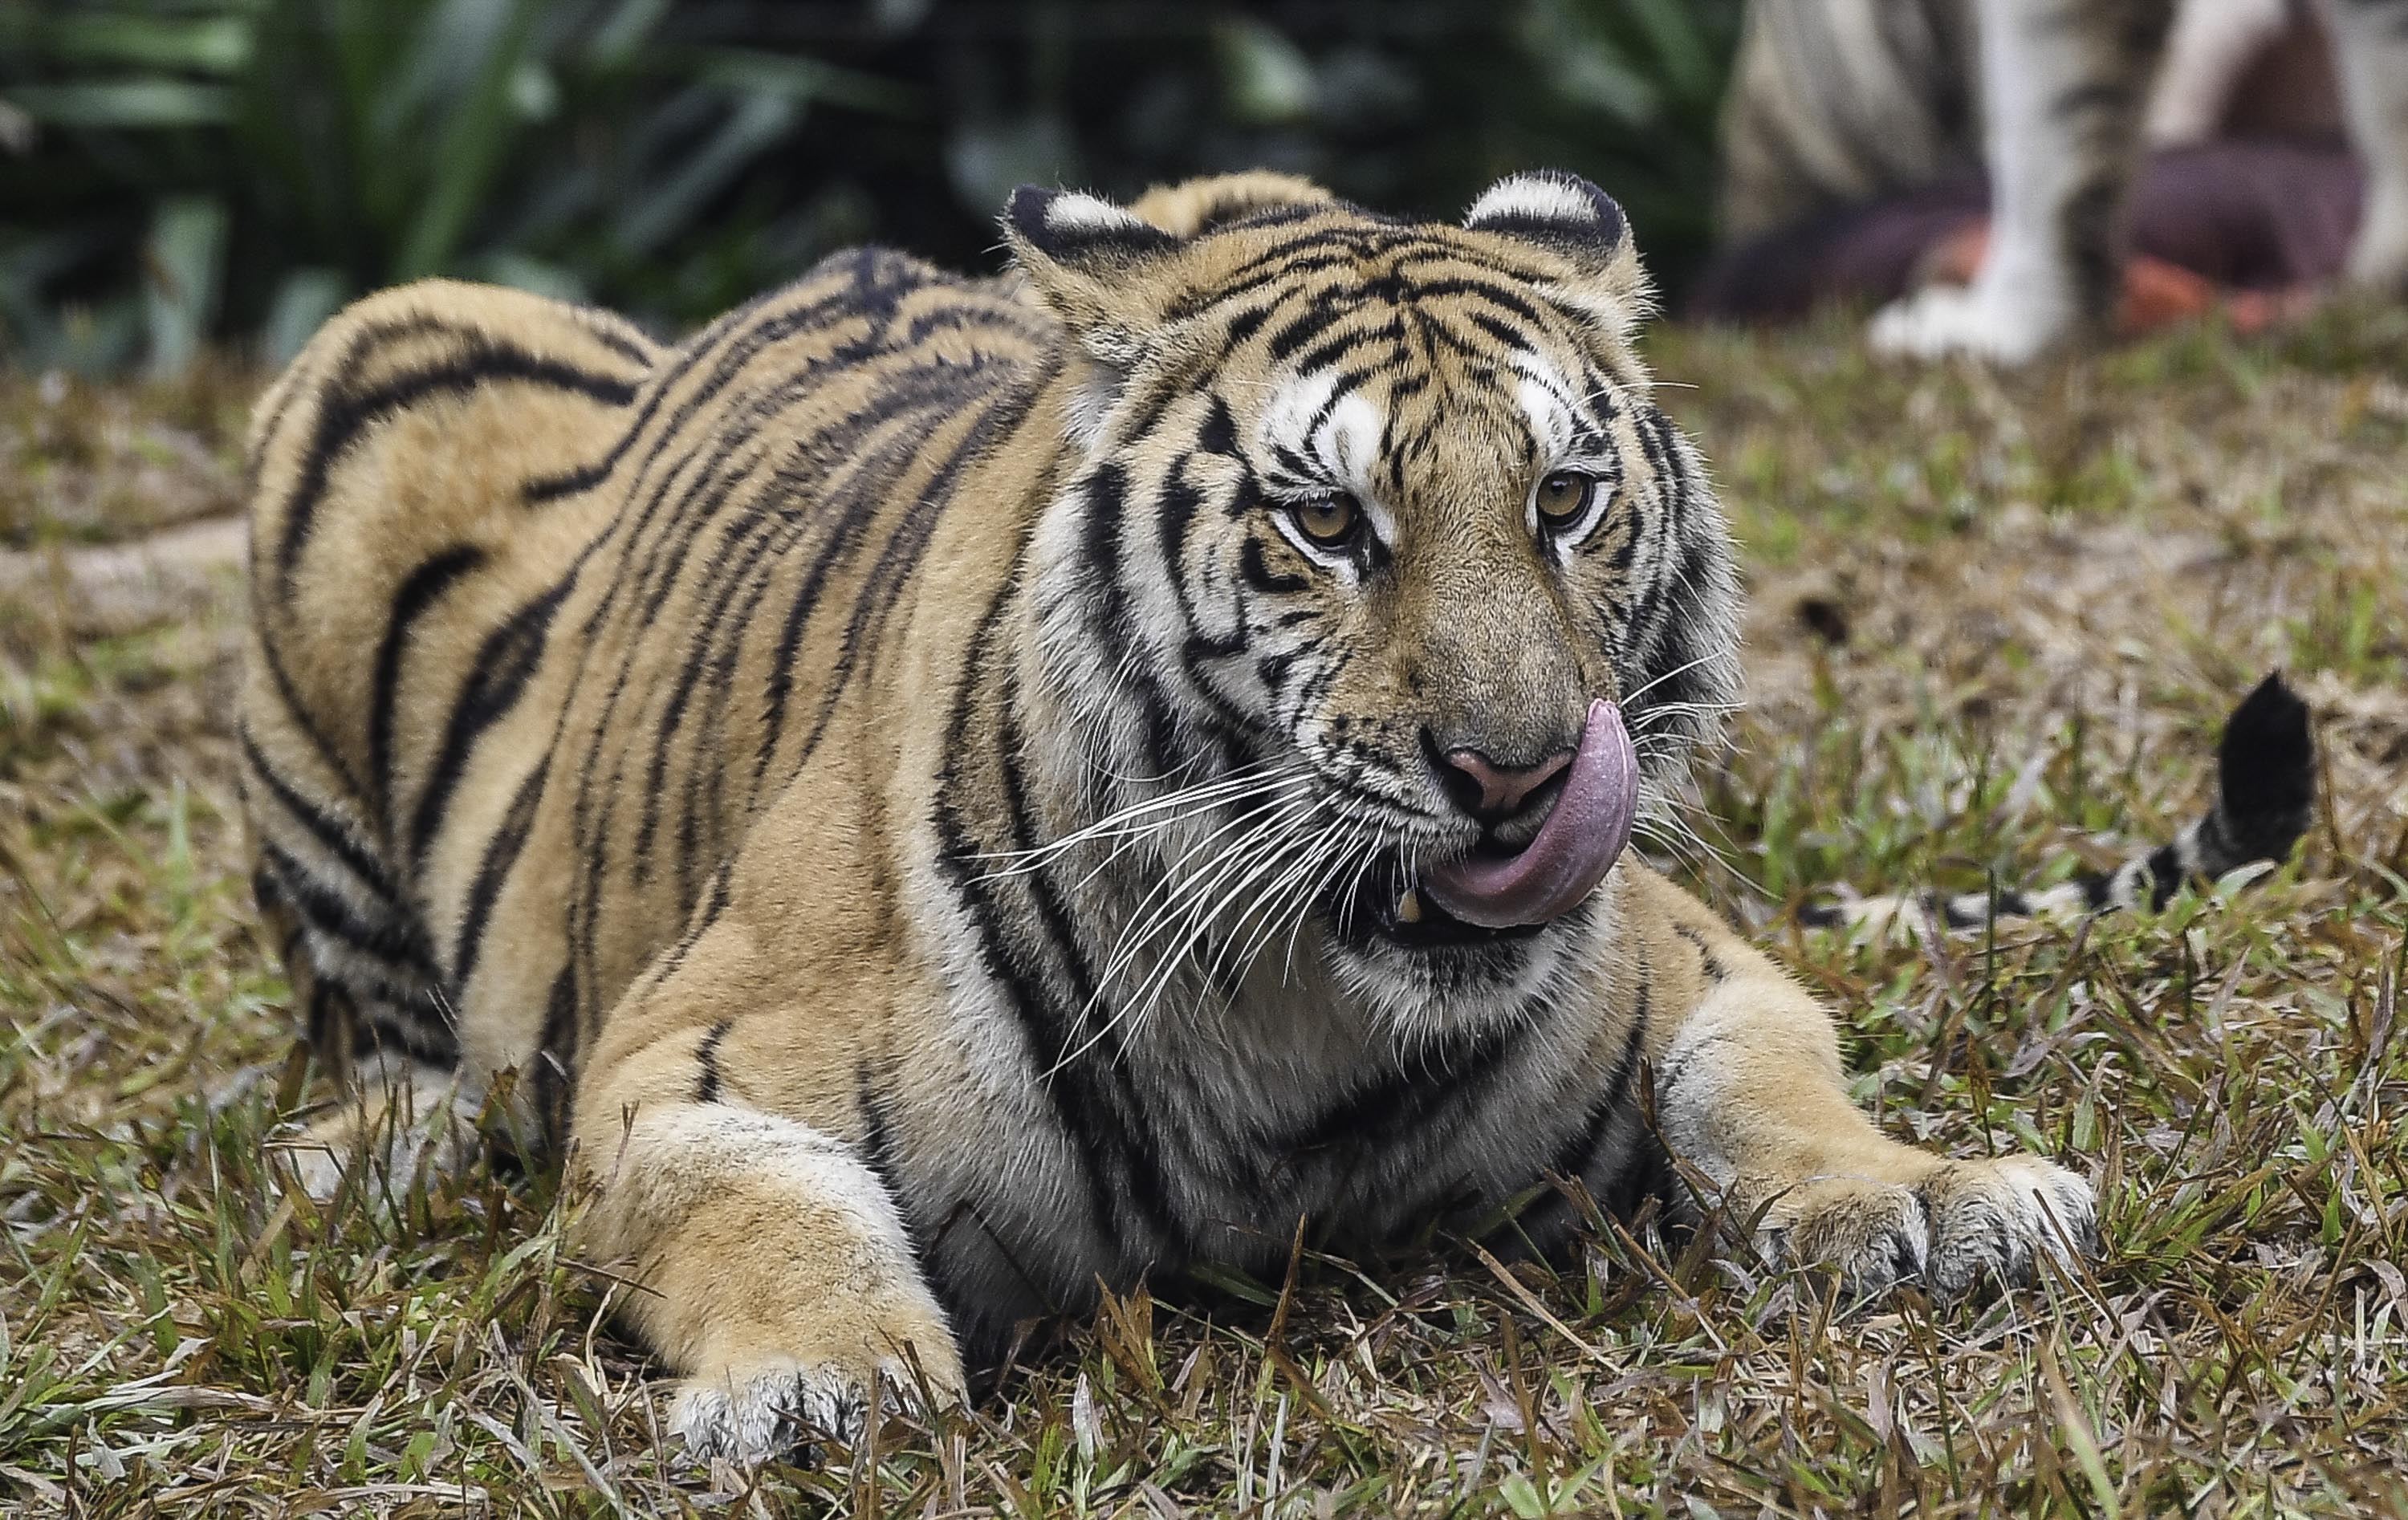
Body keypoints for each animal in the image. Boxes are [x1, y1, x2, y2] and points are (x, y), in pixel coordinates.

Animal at [239, 172, 2129, 1464]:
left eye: (1565, 499)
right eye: (1329, 522)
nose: (1518, 771)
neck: (1305, 1016)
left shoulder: (1692, 950)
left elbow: (1771, 1078)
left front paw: (1937, 1194)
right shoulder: (685, 1050)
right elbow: (763, 1200)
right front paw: (816, 1377)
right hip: (367, 364)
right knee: (379, 1024)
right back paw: (367, 1149)